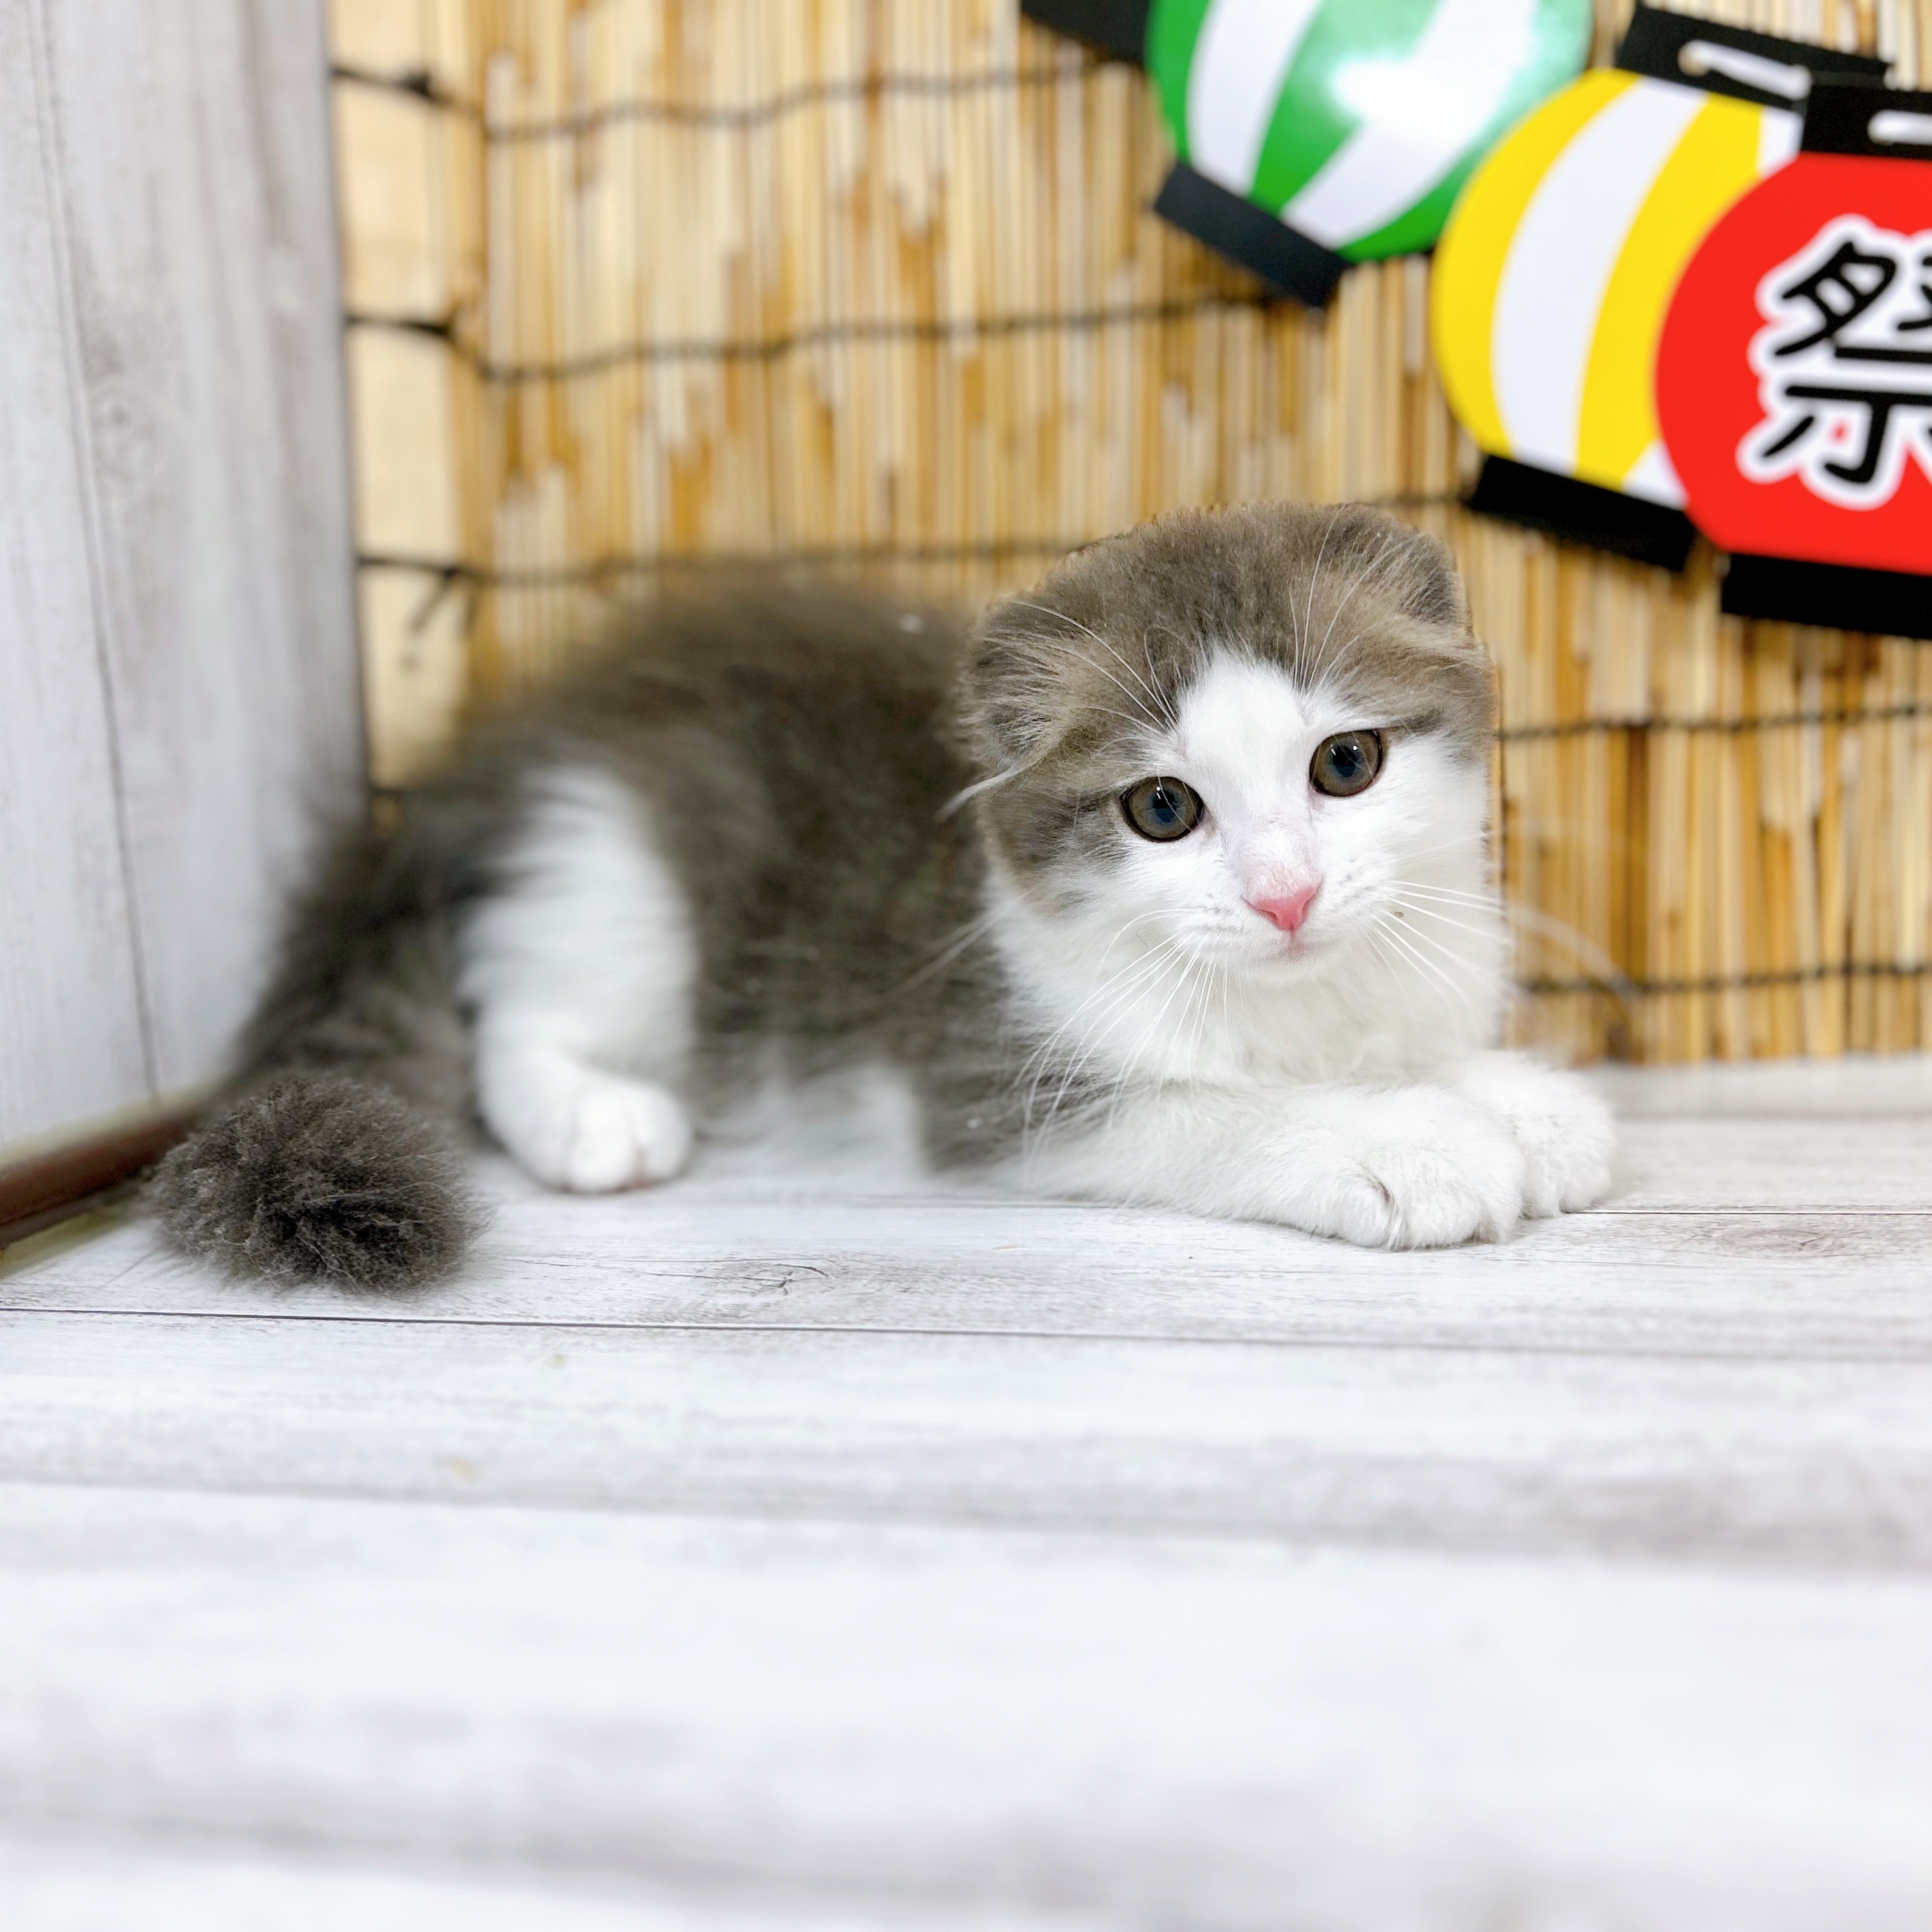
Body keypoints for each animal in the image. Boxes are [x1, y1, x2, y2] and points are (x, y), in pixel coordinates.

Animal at [150, 501, 1613, 1288]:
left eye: (1345, 764)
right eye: (1162, 809)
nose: (1286, 896)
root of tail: (500, 748)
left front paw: (1522, 1104)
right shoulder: (985, 1072)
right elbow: (1217, 1110)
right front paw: (1405, 1142)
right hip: (621, 880)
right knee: (514, 1012)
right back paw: (600, 1122)